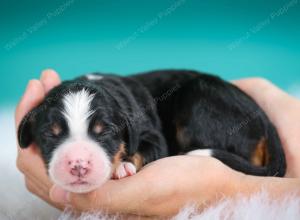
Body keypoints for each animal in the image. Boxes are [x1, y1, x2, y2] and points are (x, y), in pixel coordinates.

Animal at [18, 70, 286, 192]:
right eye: (50, 134)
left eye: (105, 132)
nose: (78, 164)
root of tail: (264, 117)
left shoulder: (151, 134)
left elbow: (143, 149)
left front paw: (123, 166)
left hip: (197, 99)